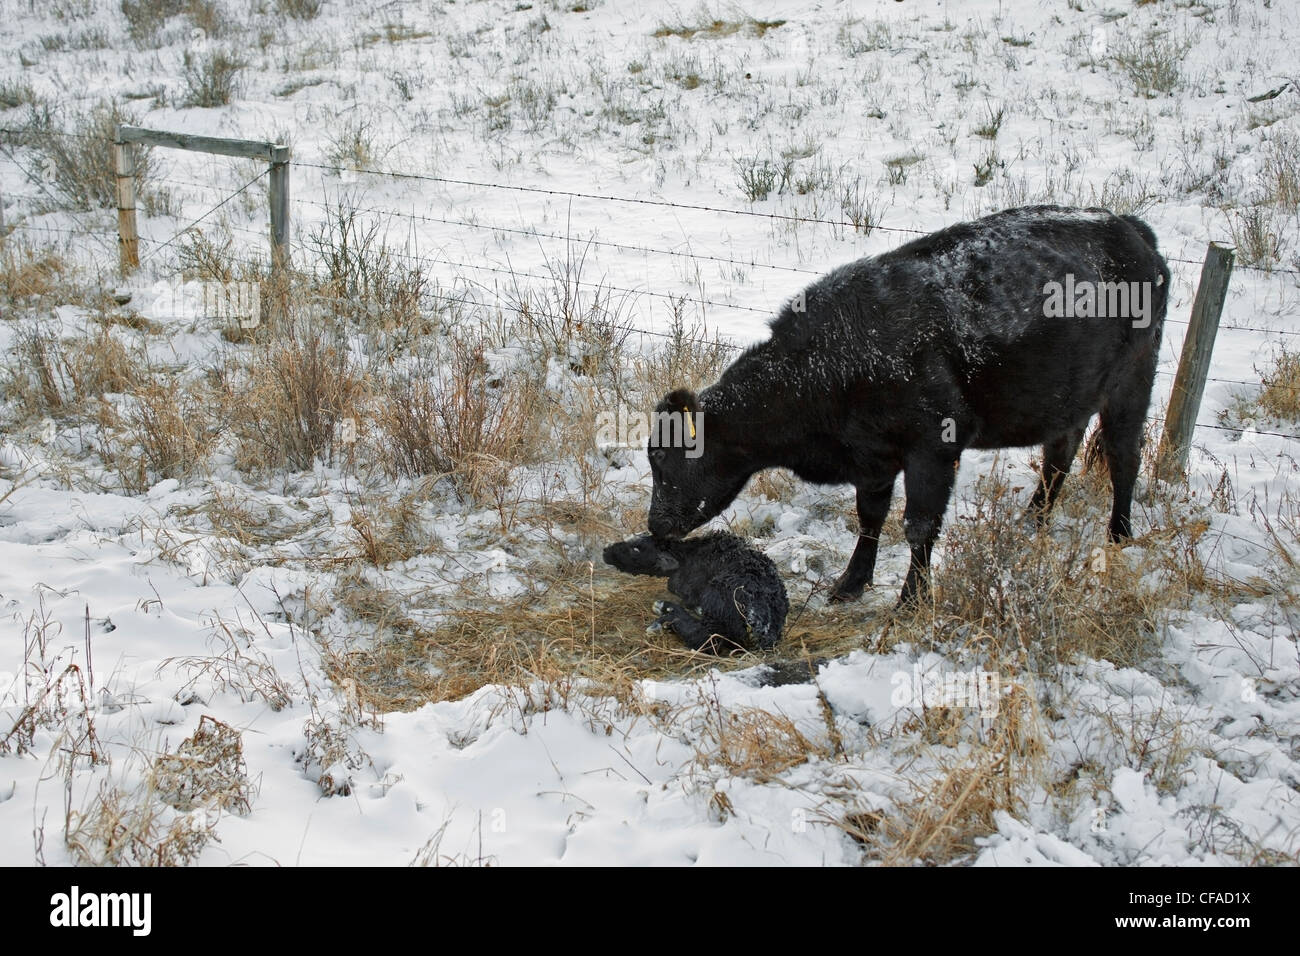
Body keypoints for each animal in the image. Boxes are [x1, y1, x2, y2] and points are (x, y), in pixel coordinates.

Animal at [645, 205, 1169, 607]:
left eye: (668, 457)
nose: (655, 525)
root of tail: (1128, 226)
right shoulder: (873, 458)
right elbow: (870, 518)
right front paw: (851, 583)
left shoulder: (933, 449)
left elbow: (918, 526)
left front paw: (911, 600)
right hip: (1069, 400)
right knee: (1058, 456)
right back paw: (1032, 522)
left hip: (1132, 383)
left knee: (1124, 456)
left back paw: (1119, 534)